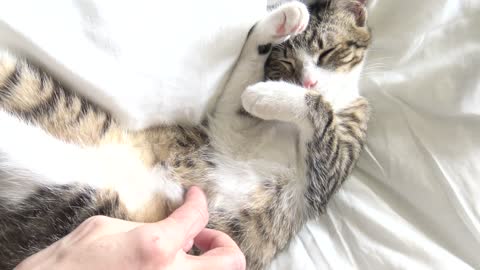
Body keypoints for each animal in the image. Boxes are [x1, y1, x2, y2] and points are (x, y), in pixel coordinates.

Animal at [0, 1, 372, 268]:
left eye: (328, 52)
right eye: (288, 64)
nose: (309, 82)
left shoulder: (331, 168)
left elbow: (321, 115)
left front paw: (265, 95)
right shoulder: (231, 130)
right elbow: (240, 87)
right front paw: (278, 23)